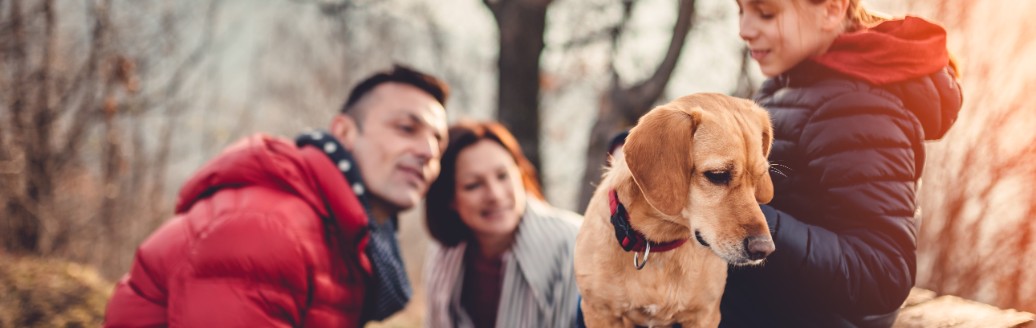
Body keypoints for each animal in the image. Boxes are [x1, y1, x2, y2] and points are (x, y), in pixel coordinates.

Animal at [576, 92, 779, 326]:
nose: (764, 249)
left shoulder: (705, 315)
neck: (658, 243)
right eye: (717, 175)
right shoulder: (600, 312)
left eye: (760, 177)